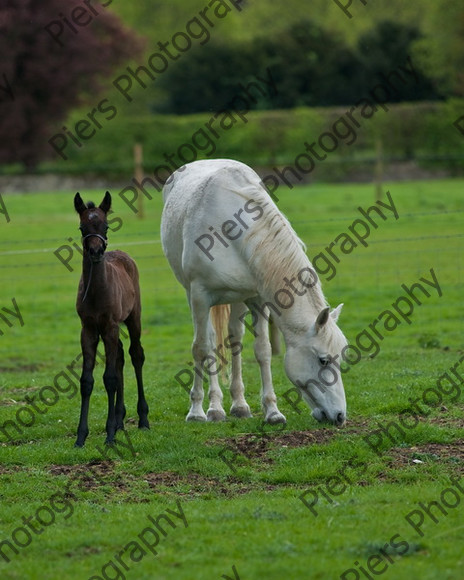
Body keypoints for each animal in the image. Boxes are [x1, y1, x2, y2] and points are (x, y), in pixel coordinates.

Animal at [73, 193, 149, 446]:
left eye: (105, 226)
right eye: (82, 227)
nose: (96, 252)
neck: (97, 292)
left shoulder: (110, 326)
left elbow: (110, 378)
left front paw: (109, 436)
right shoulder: (88, 329)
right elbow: (87, 381)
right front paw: (81, 437)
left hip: (133, 318)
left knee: (135, 355)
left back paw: (143, 419)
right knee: (121, 357)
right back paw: (119, 420)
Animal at [161, 159, 346, 426]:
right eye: (323, 360)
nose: (340, 415)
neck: (230, 228)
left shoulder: (258, 299)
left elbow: (263, 351)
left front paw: (273, 411)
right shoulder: (199, 296)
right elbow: (201, 348)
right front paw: (196, 411)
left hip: (238, 298)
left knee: (235, 339)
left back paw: (239, 405)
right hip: (194, 296)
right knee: (209, 341)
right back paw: (214, 408)